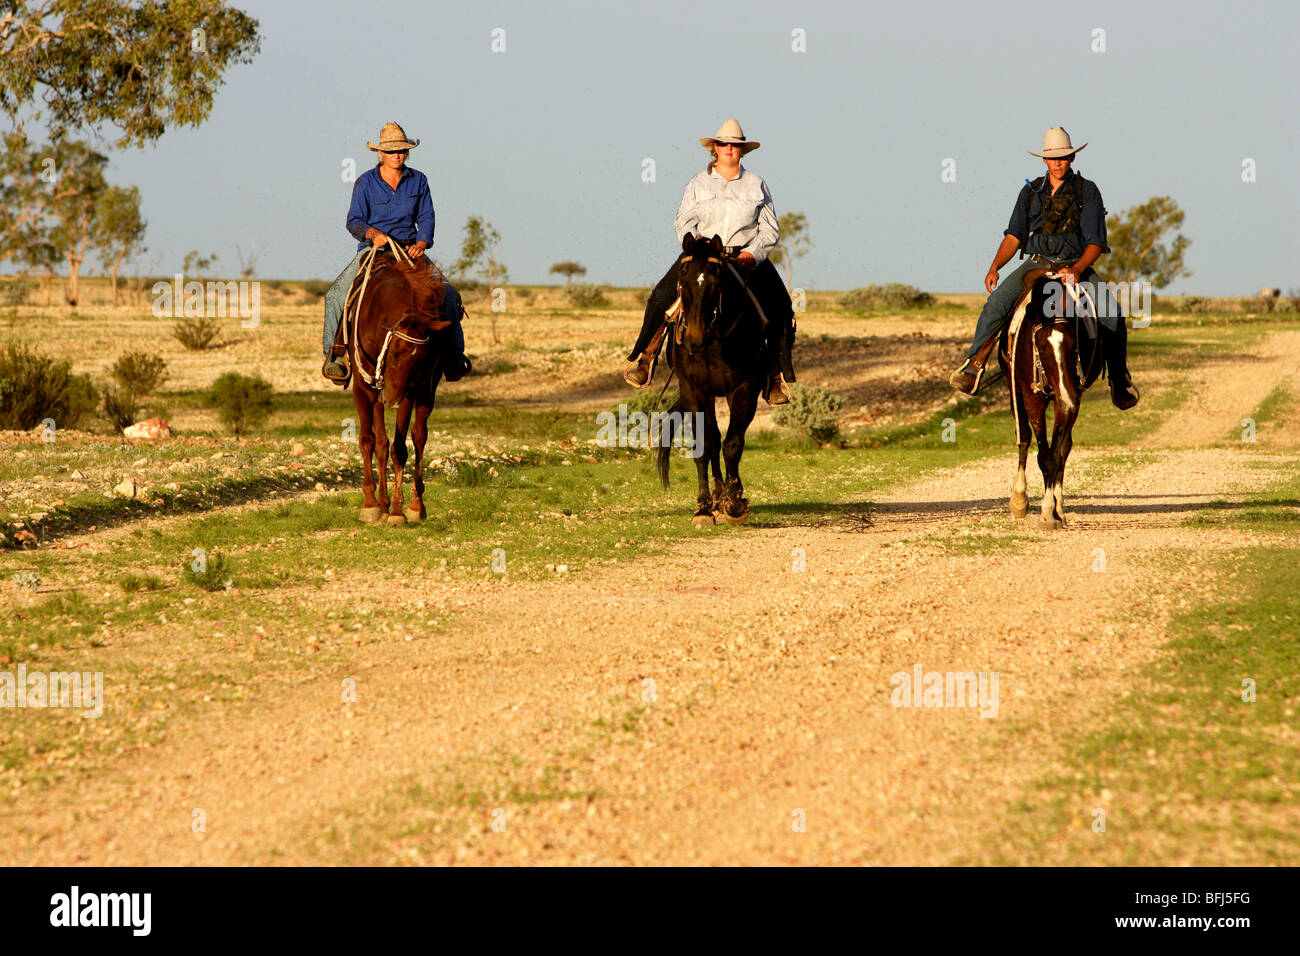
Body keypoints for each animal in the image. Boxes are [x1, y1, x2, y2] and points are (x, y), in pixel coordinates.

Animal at [348, 251, 454, 528]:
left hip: (425, 393)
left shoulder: (412, 389)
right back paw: (381, 504)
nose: (391, 399)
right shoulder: (364, 387)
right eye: (394, 351)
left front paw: (397, 510)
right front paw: (370, 505)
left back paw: (414, 505)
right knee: (380, 443)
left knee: (417, 437)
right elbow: (368, 440)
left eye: (422, 358)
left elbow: (399, 447)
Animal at [655, 232, 764, 530]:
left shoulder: (744, 390)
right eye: (683, 280)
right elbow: (704, 446)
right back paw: (716, 497)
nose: (694, 338)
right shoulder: (694, 391)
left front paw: (735, 502)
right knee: (712, 438)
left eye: (717, 283)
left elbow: (733, 444)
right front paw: (703, 508)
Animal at [998, 270, 1102, 530]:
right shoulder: (1031, 398)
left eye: (1074, 345)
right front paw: (1043, 511)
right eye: (1042, 348)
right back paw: (1019, 499)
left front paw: (1053, 510)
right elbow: (1042, 453)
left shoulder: (1069, 400)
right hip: (1015, 391)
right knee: (1024, 437)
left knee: (1064, 447)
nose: (1068, 395)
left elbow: (1058, 453)